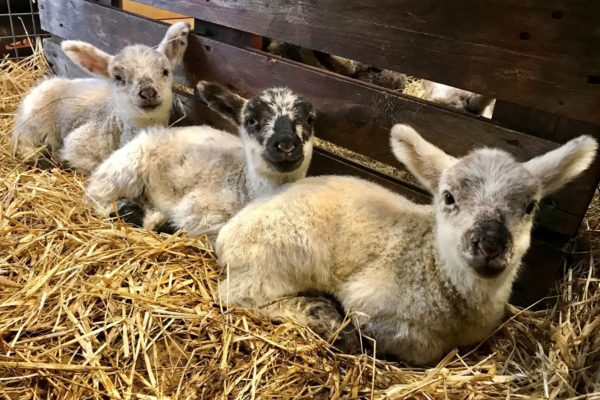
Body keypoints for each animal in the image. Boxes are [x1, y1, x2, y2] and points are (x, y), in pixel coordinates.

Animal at [11, 21, 190, 172]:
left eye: (165, 71)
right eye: (118, 77)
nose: (148, 93)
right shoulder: (77, 144)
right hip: (32, 124)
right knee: (24, 144)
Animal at [86, 80, 316, 241]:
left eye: (309, 119)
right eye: (251, 120)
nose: (285, 145)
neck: (244, 188)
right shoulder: (198, 212)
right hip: (124, 169)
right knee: (96, 197)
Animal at [214, 125, 596, 366]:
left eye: (530, 206)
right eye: (448, 197)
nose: (489, 245)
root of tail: (226, 234)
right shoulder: (371, 305)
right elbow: (419, 348)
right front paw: (347, 334)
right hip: (277, 257)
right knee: (239, 296)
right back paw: (316, 313)